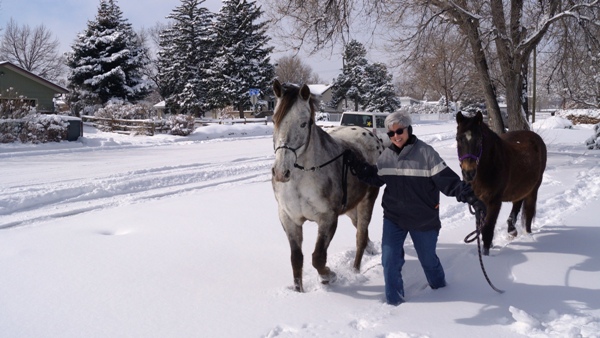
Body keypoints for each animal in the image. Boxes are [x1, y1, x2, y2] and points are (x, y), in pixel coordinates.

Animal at [272, 78, 384, 290]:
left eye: (303, 123)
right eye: (274, 120)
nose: (281, 172)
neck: (302, 179)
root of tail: (371, 135)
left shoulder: (328, 218)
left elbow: (318, 258)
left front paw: (328, 276)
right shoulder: (289, 219)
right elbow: (296, 260)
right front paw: (299, 291)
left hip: (367, 201)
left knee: (361, 237)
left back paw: (355, 271)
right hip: (351, 208)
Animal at [454, 111, 548, 254]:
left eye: (479, 140)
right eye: (458, 139)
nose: (468, 173)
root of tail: (536, 138)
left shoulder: (494, 202)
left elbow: (487, 230)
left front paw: (486, 254)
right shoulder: (479, 202)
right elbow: (482, 228)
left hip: (534, 189)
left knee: (529, 213)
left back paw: (527, 234)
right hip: (519, 188)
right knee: (517, 204)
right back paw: (512, 230)